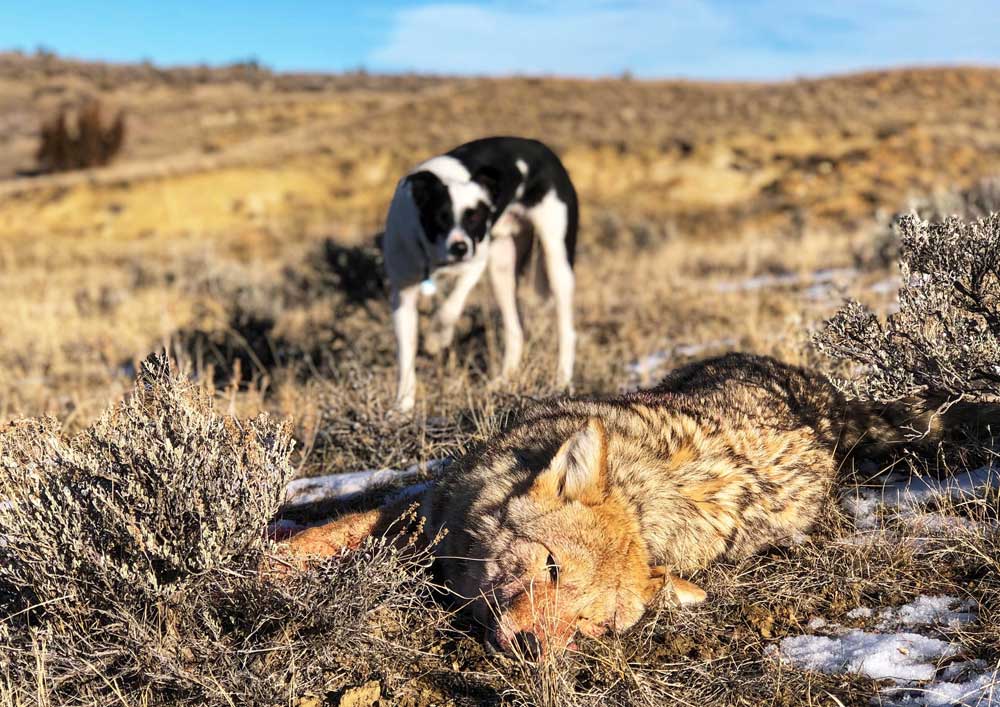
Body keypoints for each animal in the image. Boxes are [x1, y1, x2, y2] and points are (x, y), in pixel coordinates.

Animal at [386, 138, 584, 412]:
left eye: (476, 218)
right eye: (440, 218)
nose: (460, 247)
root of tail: (542, 148)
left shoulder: (477, 261)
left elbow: (451, 306)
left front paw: (437, 337)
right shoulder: (402, 296)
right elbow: (406, 352)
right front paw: (403, 406)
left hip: (556, 260)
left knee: (567, 330)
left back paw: (561, 383)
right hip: (503, 266)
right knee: (515, 330)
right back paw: (503, 381)